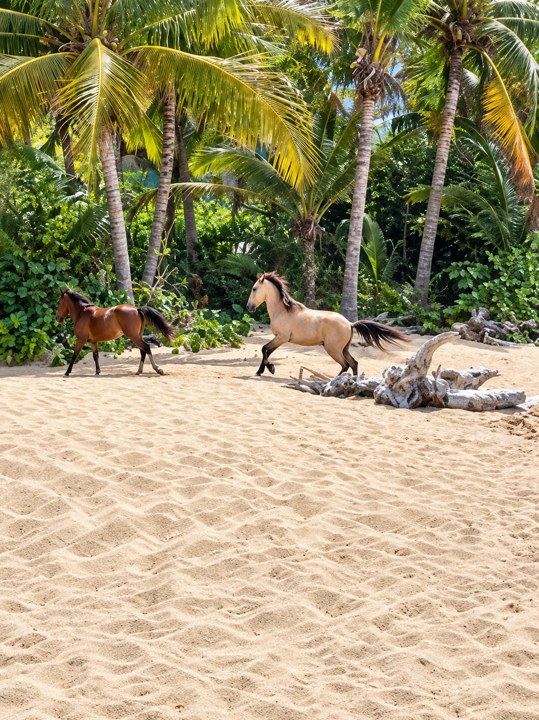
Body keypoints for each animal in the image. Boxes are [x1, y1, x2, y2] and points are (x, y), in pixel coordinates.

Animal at [246, 272, 409, 376]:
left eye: (254, 288)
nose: (249, 307)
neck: (283, 311)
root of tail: (350, 323)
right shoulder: (279, 338)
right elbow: (266, 351)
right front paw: (260, 371)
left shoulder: (282, 338)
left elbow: (264, 349)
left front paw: (270, 368)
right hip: (343, 349)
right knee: (354, 363)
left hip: (333, 349)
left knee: (346, 365)